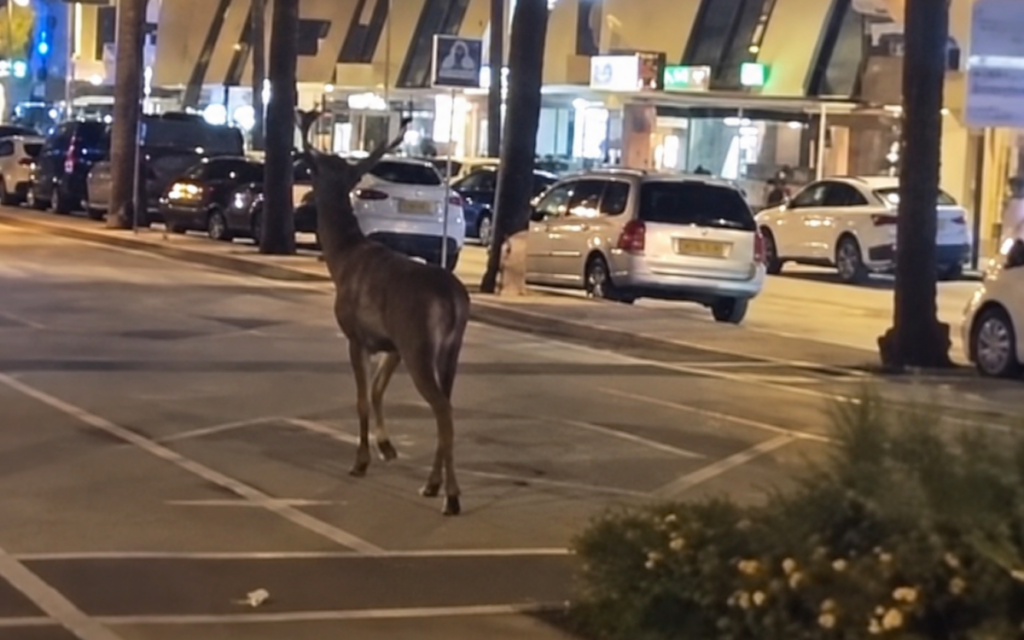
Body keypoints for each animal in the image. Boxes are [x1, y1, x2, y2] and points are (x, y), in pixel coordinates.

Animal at [296, 109, 471, 516]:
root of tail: (454, 299)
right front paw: (388, 447)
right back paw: (433, 484)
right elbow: (377, 392)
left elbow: (362, 398)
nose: (306, 196)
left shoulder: (356, 336)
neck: (342, 258)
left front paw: (361, 460)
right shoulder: (392, 344)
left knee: (443, 410)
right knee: (447, 405)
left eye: (313, 169)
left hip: (420, 343)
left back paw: (451, 496)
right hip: (448, 350)